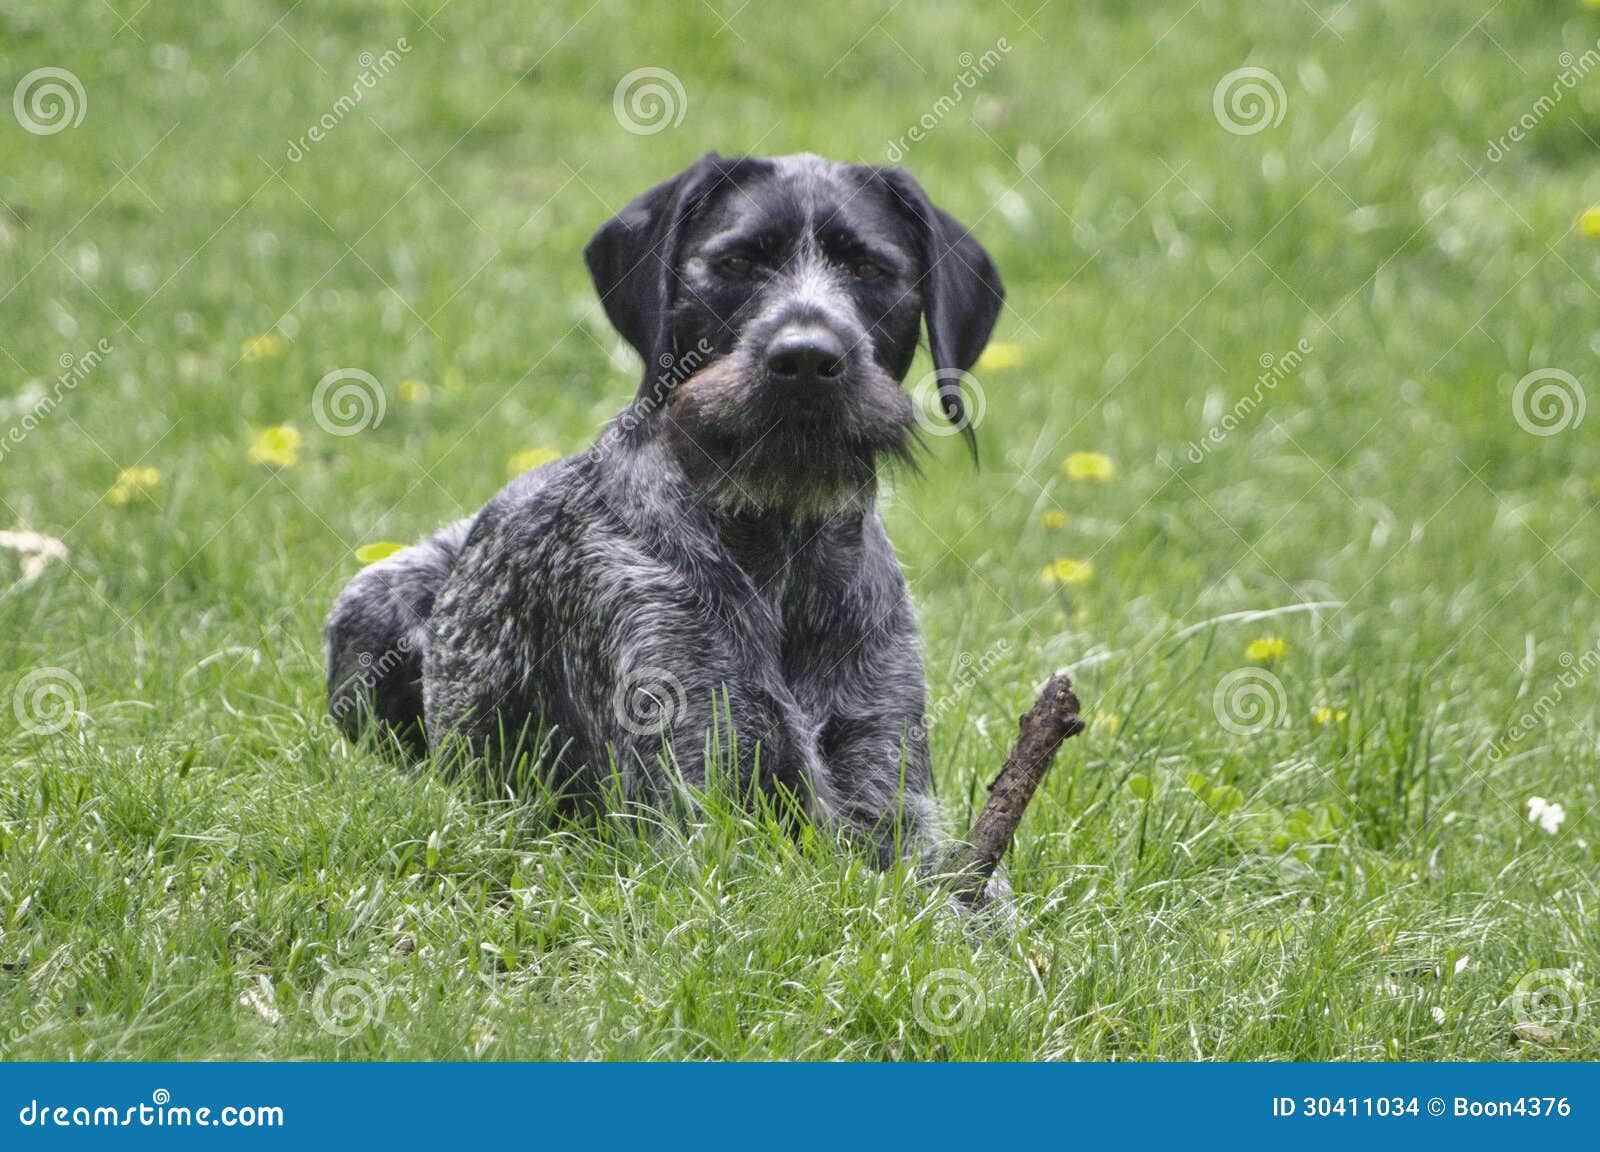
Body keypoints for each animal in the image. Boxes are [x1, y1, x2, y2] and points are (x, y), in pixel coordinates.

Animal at [323, 150, 998, 870]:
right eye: (737, 263)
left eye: (869, 269)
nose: (806, 358)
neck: (783, 547)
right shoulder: (689, 815)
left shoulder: (893, 800)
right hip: (370, 603)